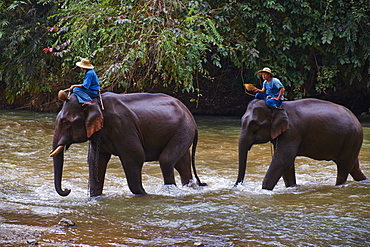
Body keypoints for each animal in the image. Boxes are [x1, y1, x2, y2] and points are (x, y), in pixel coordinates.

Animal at [49, 92, 207, 197]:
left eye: (66, 122)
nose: (68, 189)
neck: (95, 101)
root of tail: (190, 115)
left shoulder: (123, 127)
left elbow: (135, 157)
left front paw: (144, 194)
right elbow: (95, 160)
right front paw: (95, 197)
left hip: (183, 130)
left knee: (166, 160)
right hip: (182, 132)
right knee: (182, 163)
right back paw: (191, 188)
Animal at [236, 97, 368, 190]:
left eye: (254, 124)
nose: (237, 186)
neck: (279, 106)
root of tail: (357, 120)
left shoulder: (292, 132)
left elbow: (283, 160)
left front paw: (264, 190)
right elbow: (287, 164)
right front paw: (291, 188)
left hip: (351, 139)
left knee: (344, 167)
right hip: (351, 141)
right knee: (354, 167)